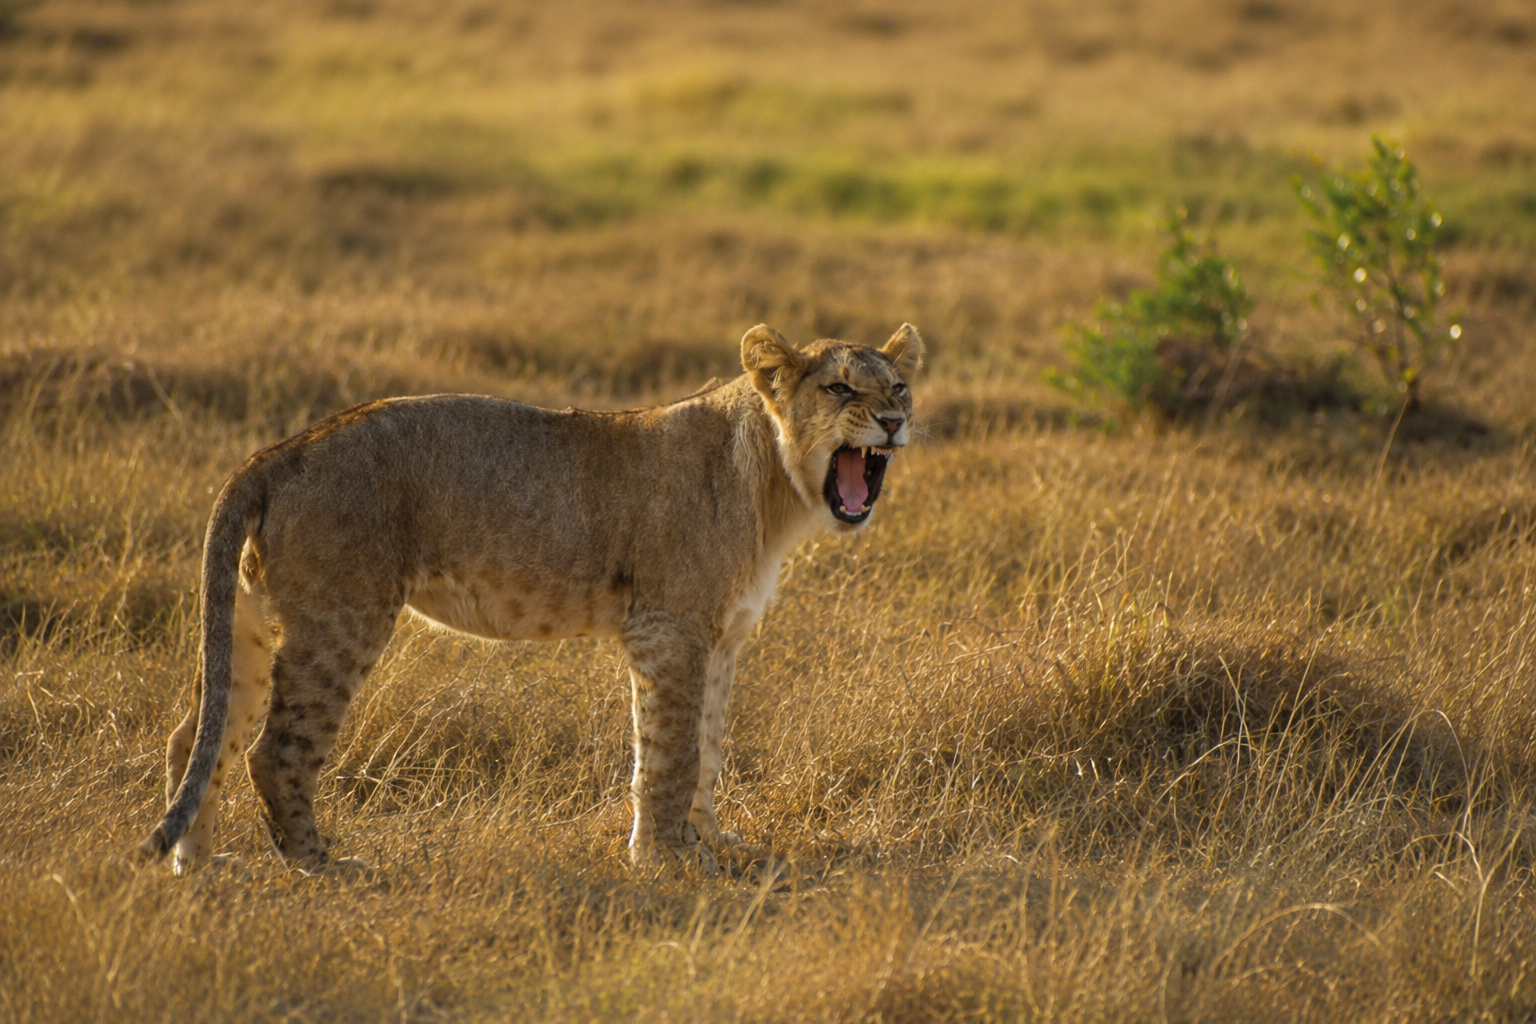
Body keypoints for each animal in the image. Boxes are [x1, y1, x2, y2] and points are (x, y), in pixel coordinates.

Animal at [137, 323, 923, 874]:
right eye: (840, 389)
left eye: (898, 388)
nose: (892, 423)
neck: (778, 491)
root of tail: (281, 451)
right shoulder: (668, 630)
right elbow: (670, 753)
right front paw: (668, 861)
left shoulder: (721, 639)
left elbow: (707, 743)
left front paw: (711, 843)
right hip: (343, 619)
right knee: (273, 751)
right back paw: (322, 866)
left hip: (249, 620)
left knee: (196, 736)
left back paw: (198, 867)